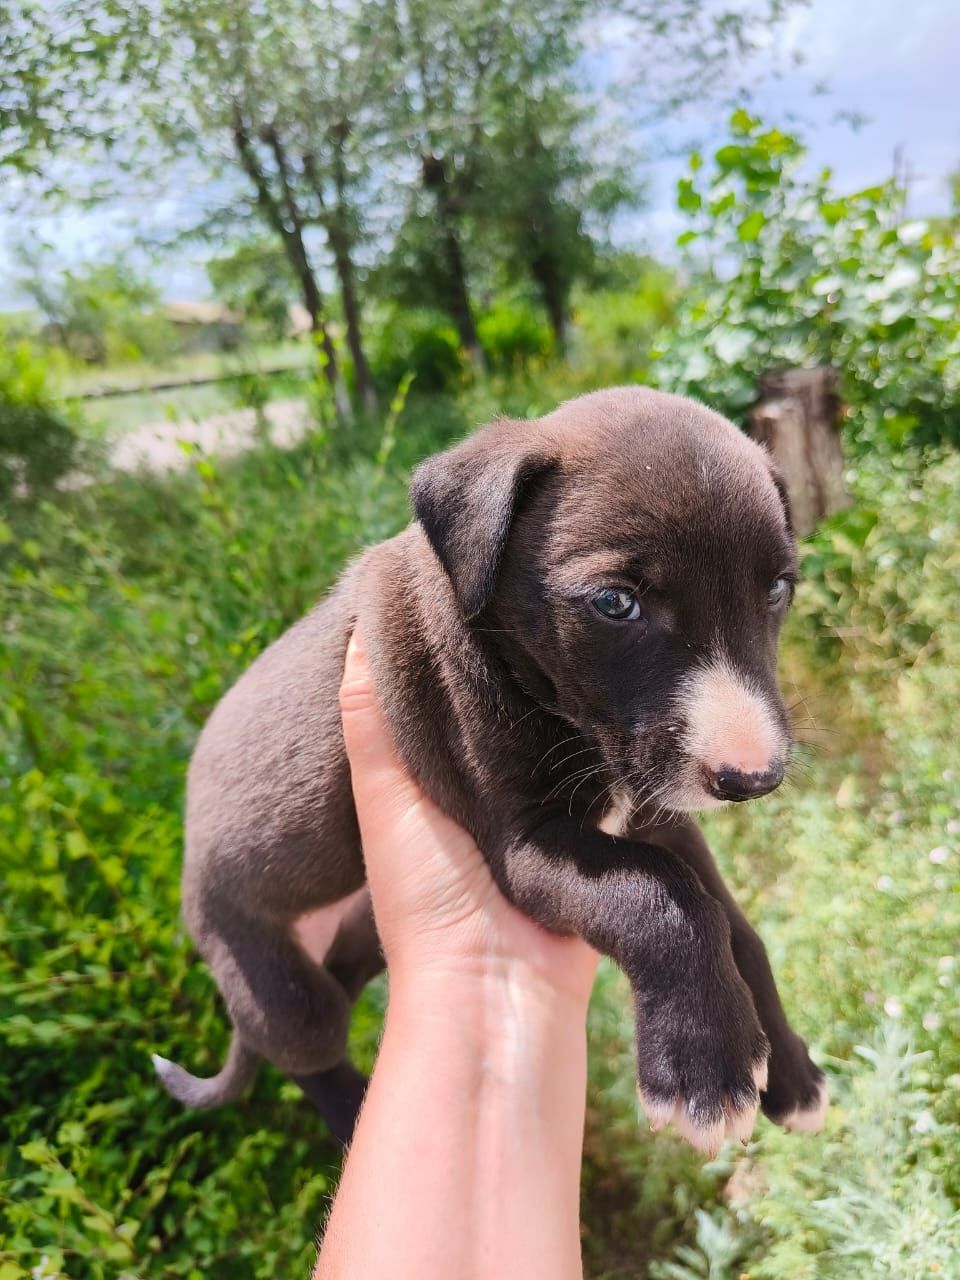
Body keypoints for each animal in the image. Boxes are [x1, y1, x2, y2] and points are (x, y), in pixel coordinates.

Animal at [156, 386, 829, 1152]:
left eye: (778, 591)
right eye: (615, 603)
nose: (754, 778)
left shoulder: (653, 812)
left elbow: (736, 925)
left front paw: (789, 1070)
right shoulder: (524, 848)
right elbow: (661, 897)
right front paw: (705, 1067)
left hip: (356, 925)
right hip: (262, 966)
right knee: (308, 1050)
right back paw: (354, 1118)